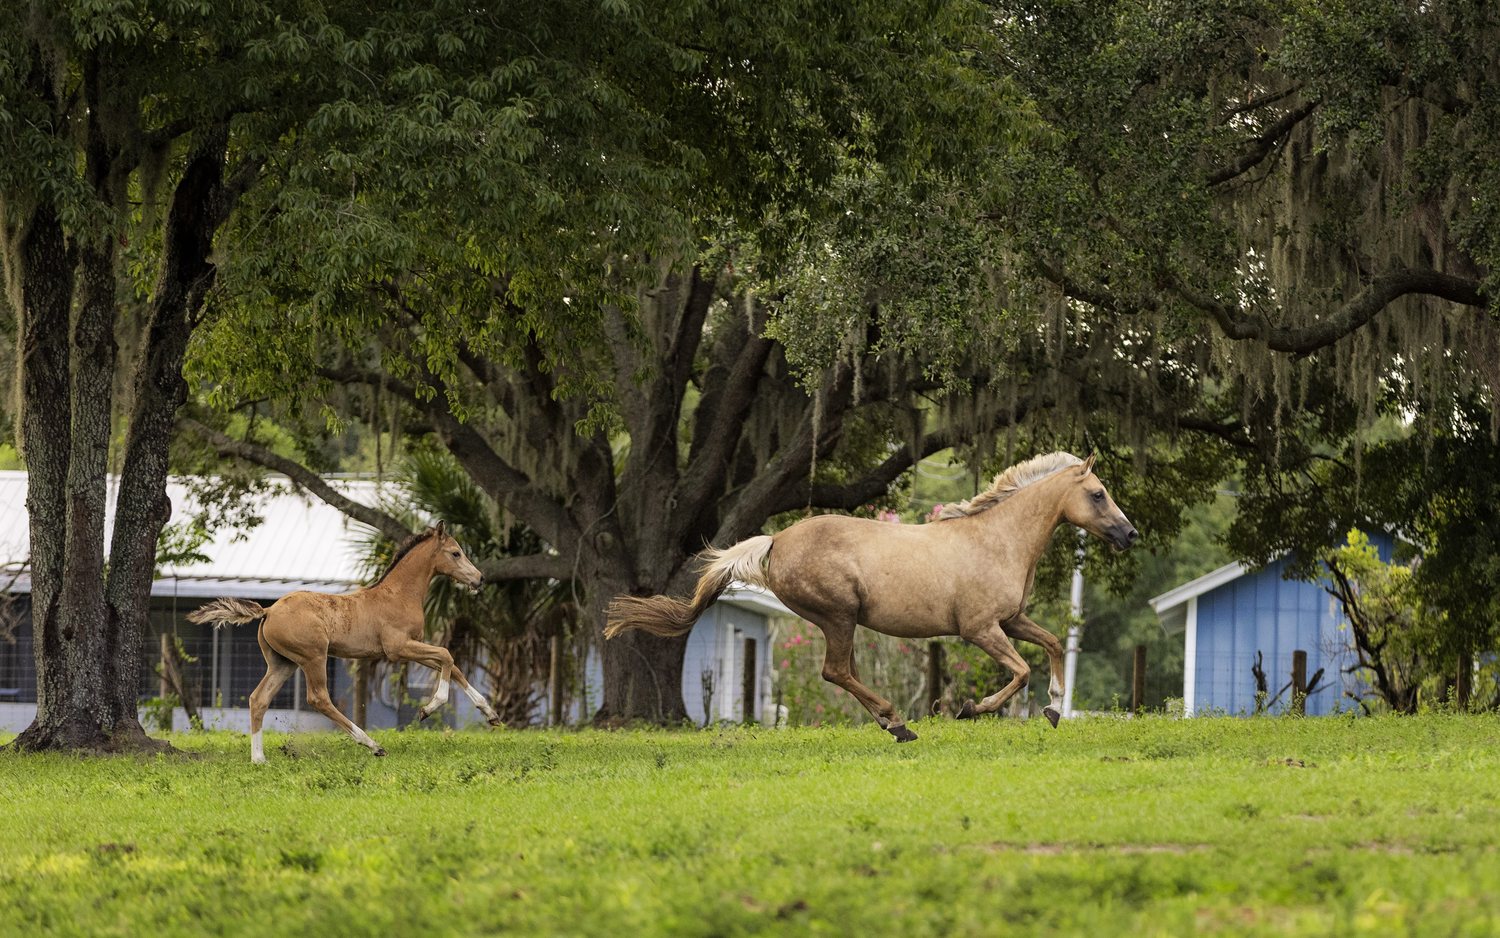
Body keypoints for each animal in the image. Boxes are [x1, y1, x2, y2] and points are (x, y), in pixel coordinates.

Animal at [186, 521, 503, 763]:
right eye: (456, 553)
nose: (480, 579)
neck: (398, 594)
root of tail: (268, 611)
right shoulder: (398, 649)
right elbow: (447, 655)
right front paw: (427, 709)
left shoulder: (411, 648)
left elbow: (453, 665)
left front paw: (491, 714)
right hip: (313, 657)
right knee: (318, 698)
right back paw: (372, 744)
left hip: (283, 663)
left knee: (258, 699)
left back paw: (259, 759)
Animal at [604, 452, 1137, 741]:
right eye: (1098, 494)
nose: (1130, 534)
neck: (996, 539)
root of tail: (775, 541)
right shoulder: (980, 629)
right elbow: (1022, 671)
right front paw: (970, 708)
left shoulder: (1011, 621)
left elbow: (1051, 645)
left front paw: (1054, 708)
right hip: (838, 617)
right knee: (836, 672)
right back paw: (899, 724)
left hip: (845, 622)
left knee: (847, 673)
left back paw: (893, 725)